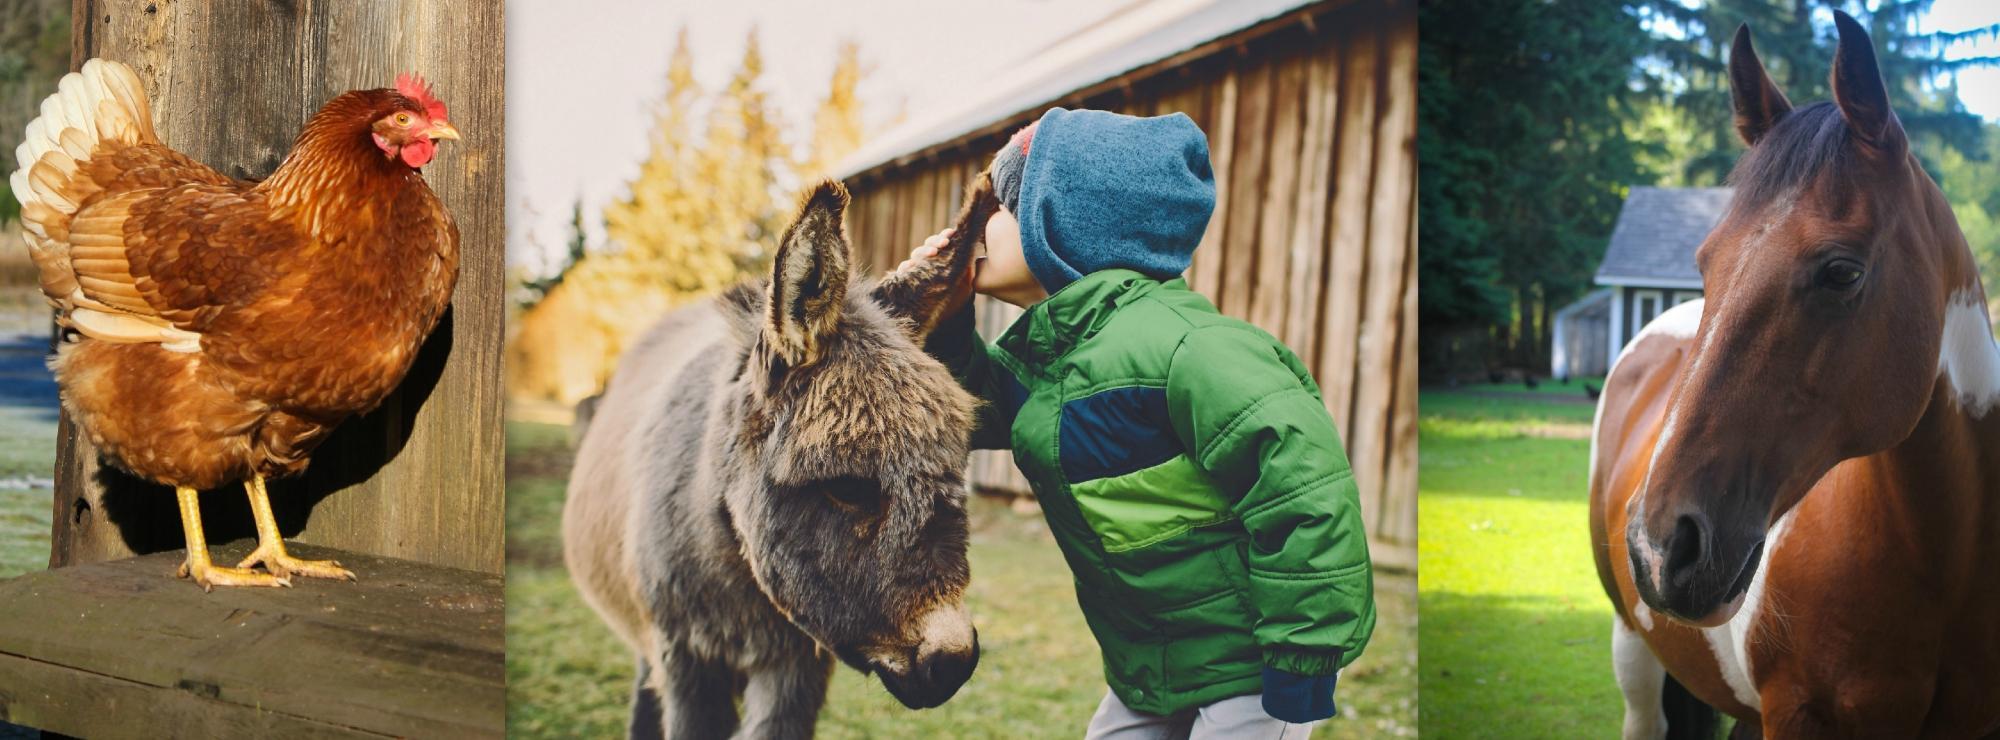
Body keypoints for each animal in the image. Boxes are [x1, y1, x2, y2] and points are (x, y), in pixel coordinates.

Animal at [1600, 11, 2000, 740]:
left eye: (1842, 271)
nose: (1660, 546)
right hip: (1632, 654)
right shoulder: (1795, 715)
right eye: (1705, 262)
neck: (1941, 564)